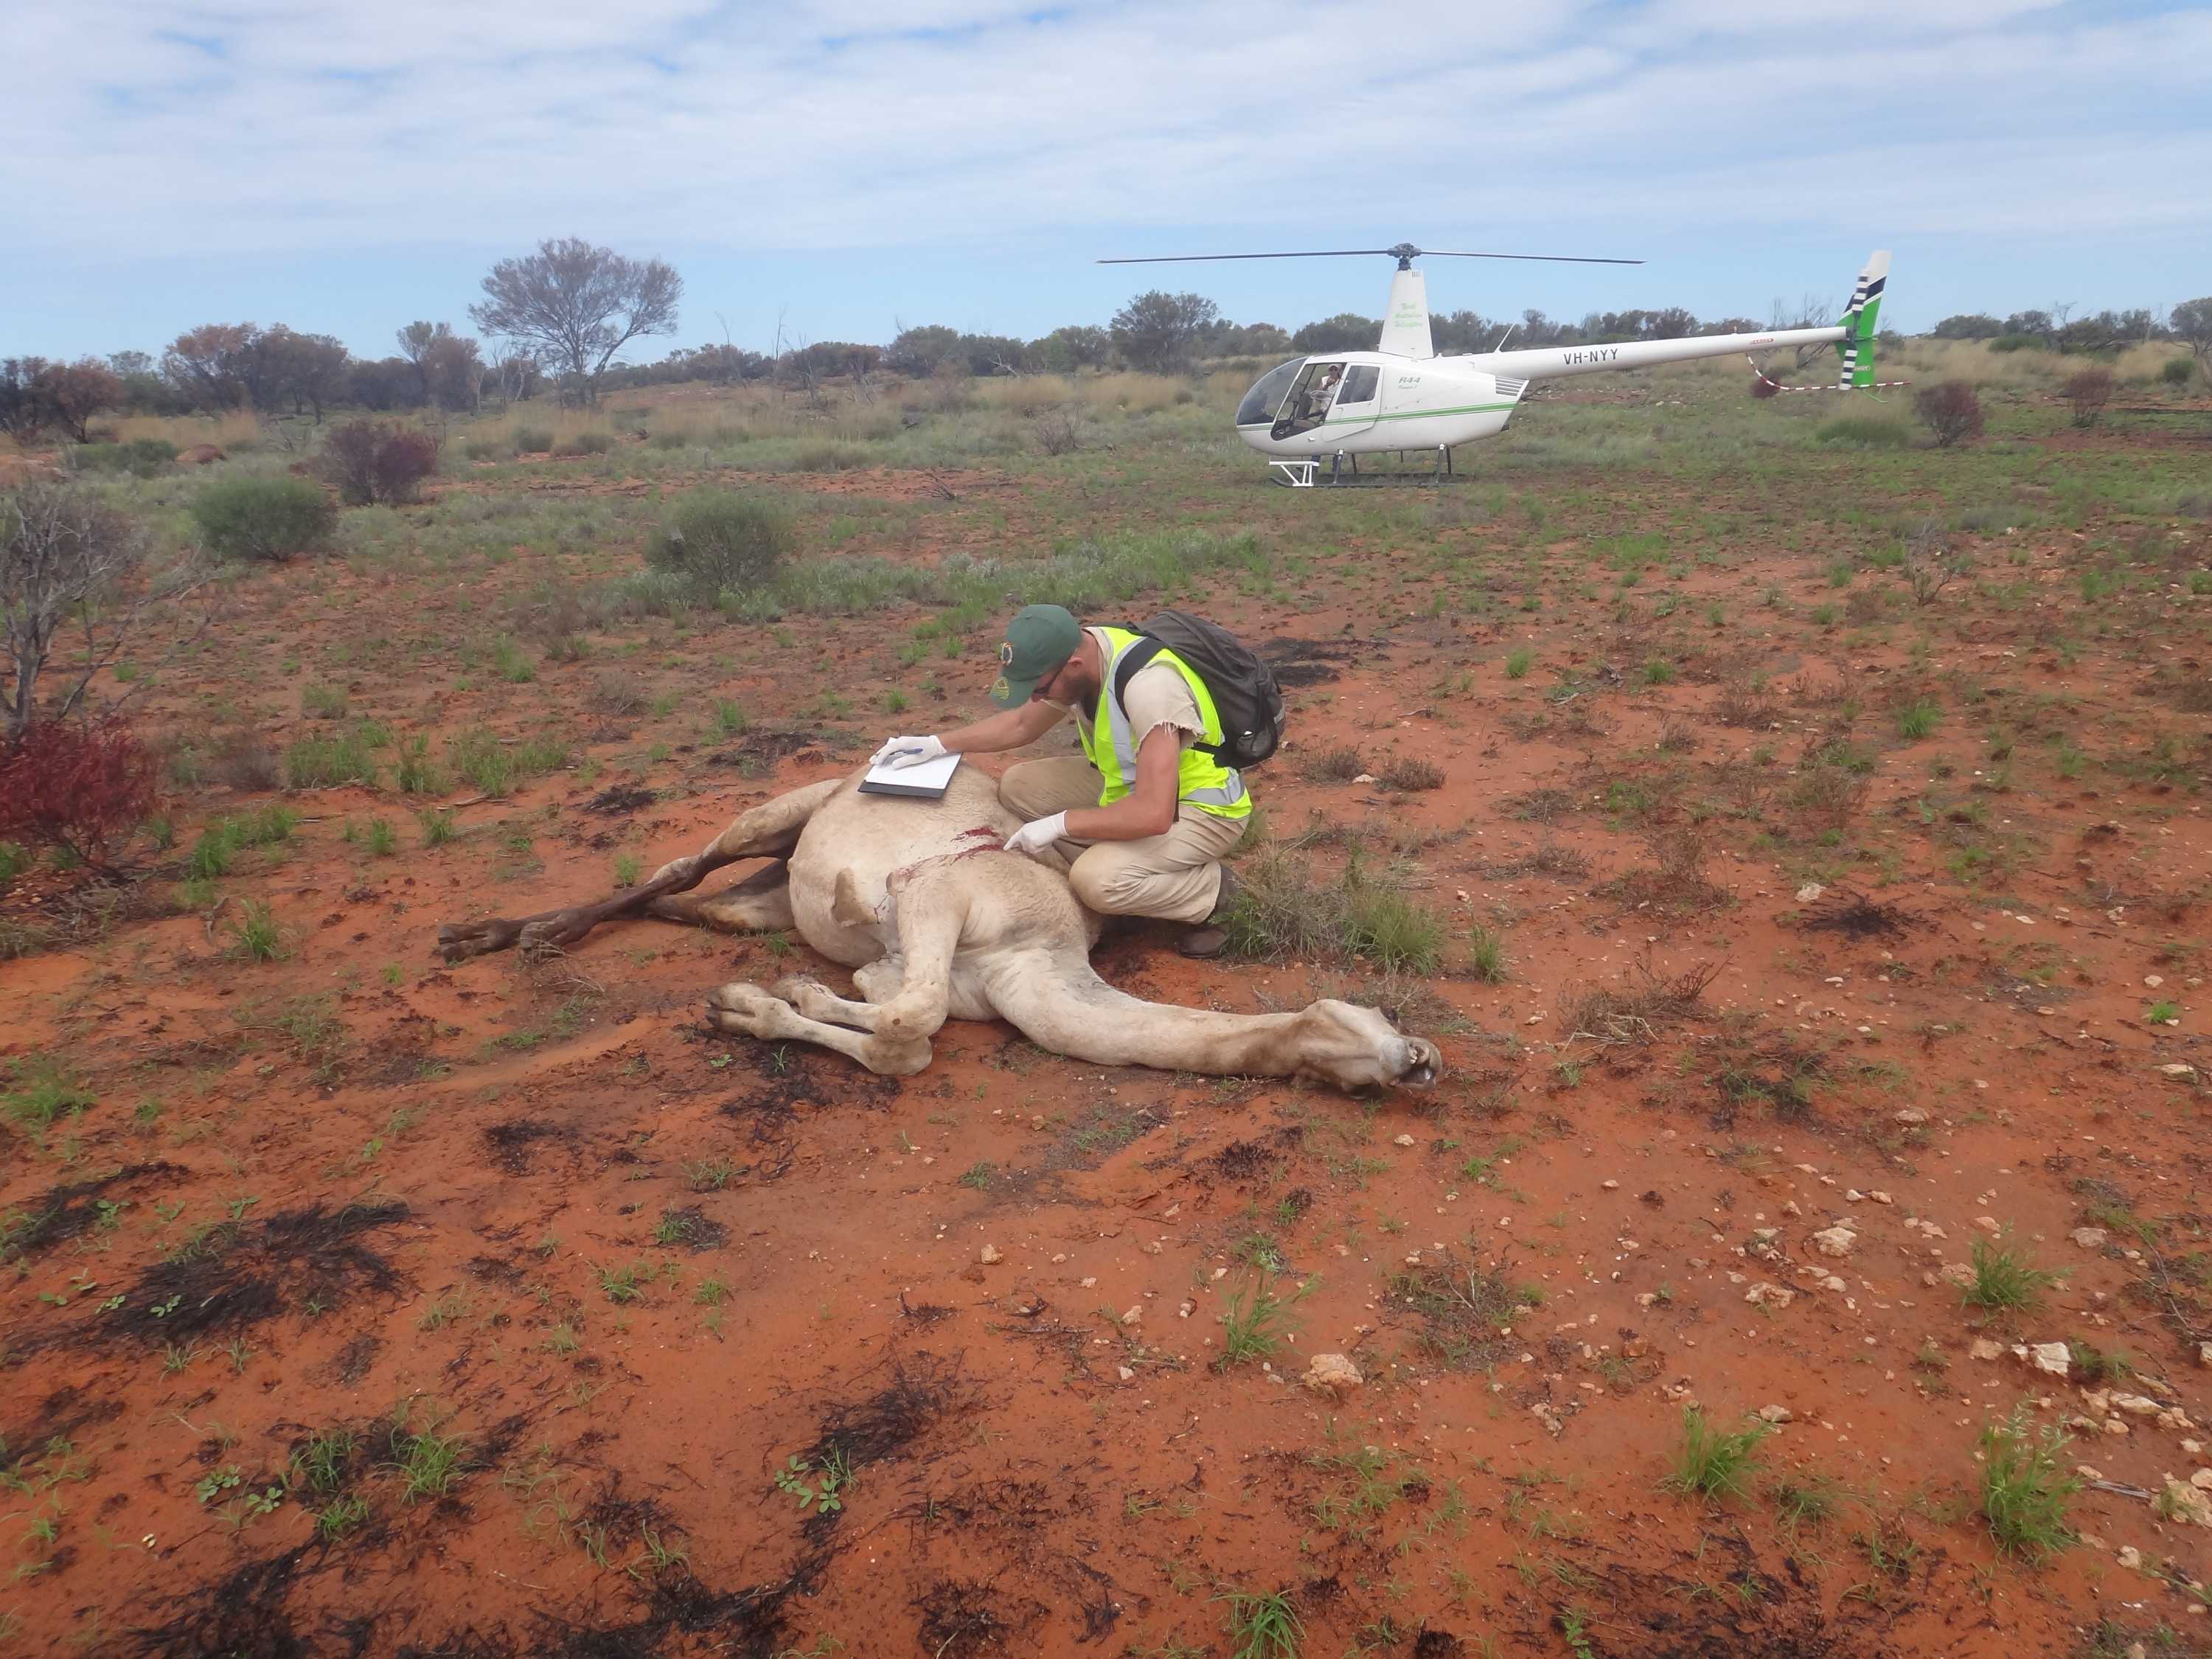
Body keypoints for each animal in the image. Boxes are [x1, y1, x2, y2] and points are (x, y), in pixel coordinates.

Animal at [437, 767, 1440, 1093]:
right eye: (1374, 1026)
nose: (1417, 1061)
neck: (1036, 958)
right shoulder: (940, 895)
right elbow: (907, 1020)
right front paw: (772, 1000)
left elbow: (903, 1034)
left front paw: (767, 1001)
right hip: (785, 807)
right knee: (685, 865)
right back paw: (501, 935)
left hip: (770, 898)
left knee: (699, 902)